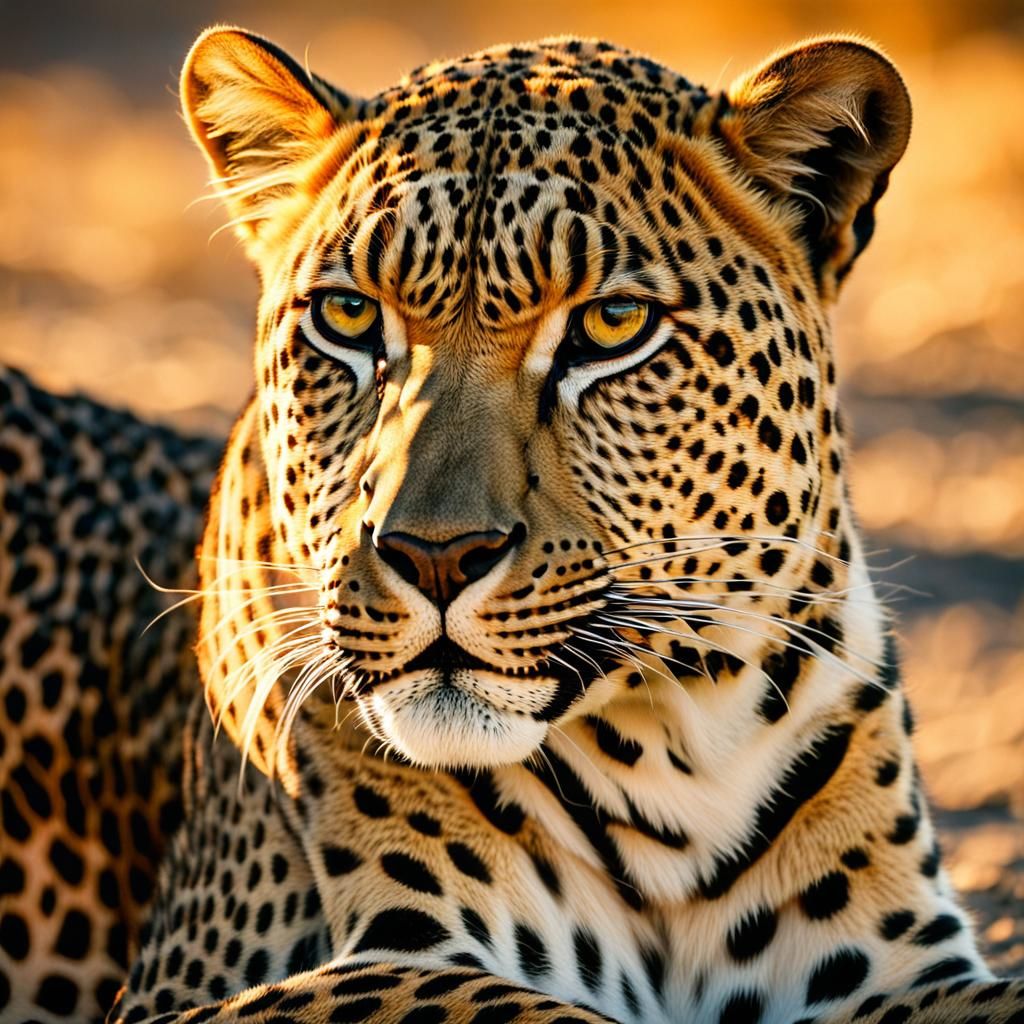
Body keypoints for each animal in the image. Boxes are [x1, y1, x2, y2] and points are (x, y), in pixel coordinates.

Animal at [2, 22, 1023, 1024]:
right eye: (349, 315)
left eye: (612, 325)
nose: (435, 557)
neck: (679, 765)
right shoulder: (217, 990)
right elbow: (523, 1005)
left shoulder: (892, 969)